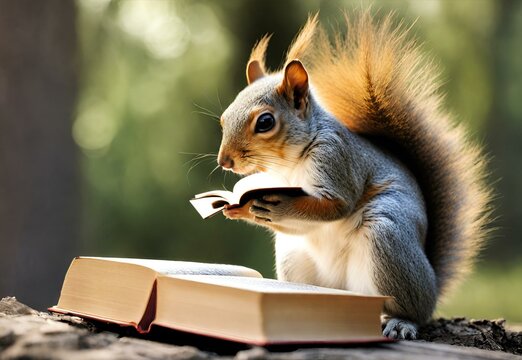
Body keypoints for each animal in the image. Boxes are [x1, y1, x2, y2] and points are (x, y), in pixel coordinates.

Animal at [213, 10, 490, 338]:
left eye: (265, 122)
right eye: (224, 118)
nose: (225, 161)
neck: (289, 164)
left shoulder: (337, 161)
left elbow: (336, 206)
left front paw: (279, 205)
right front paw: (239, 209)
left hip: (387, 240)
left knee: (412, 309)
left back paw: (401, 321)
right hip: (295, 257)